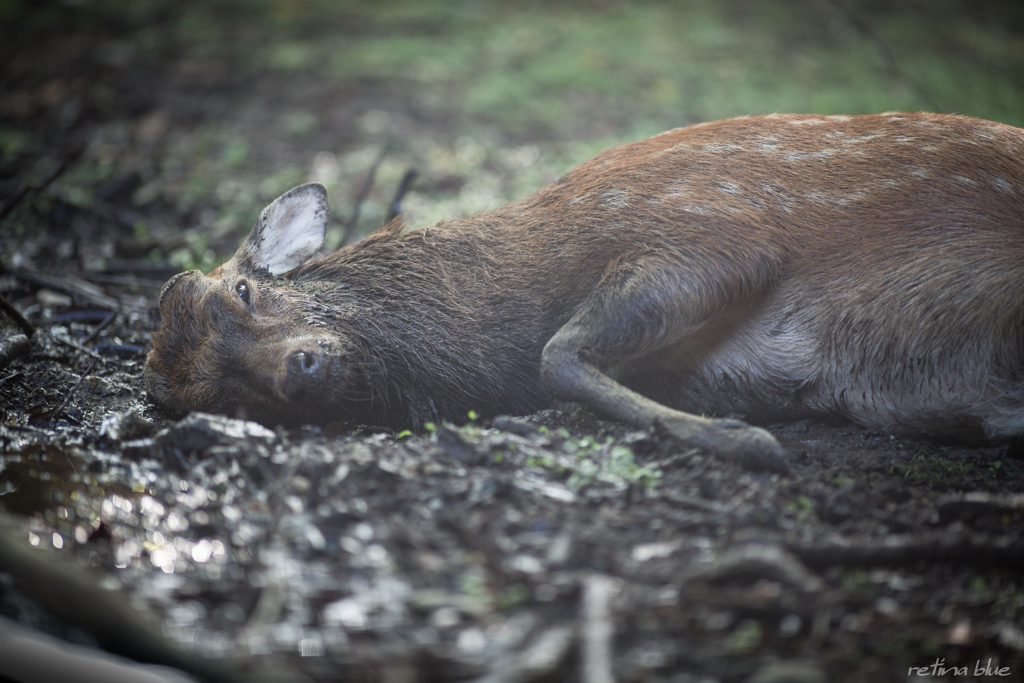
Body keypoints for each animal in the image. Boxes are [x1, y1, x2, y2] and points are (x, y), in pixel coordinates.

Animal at [146, 113, 1024, 475]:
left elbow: (557, 353)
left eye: (245, 290)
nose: (300, 369)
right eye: (221, 396)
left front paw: (746, 441)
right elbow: (562, 358)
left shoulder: (718, 227)